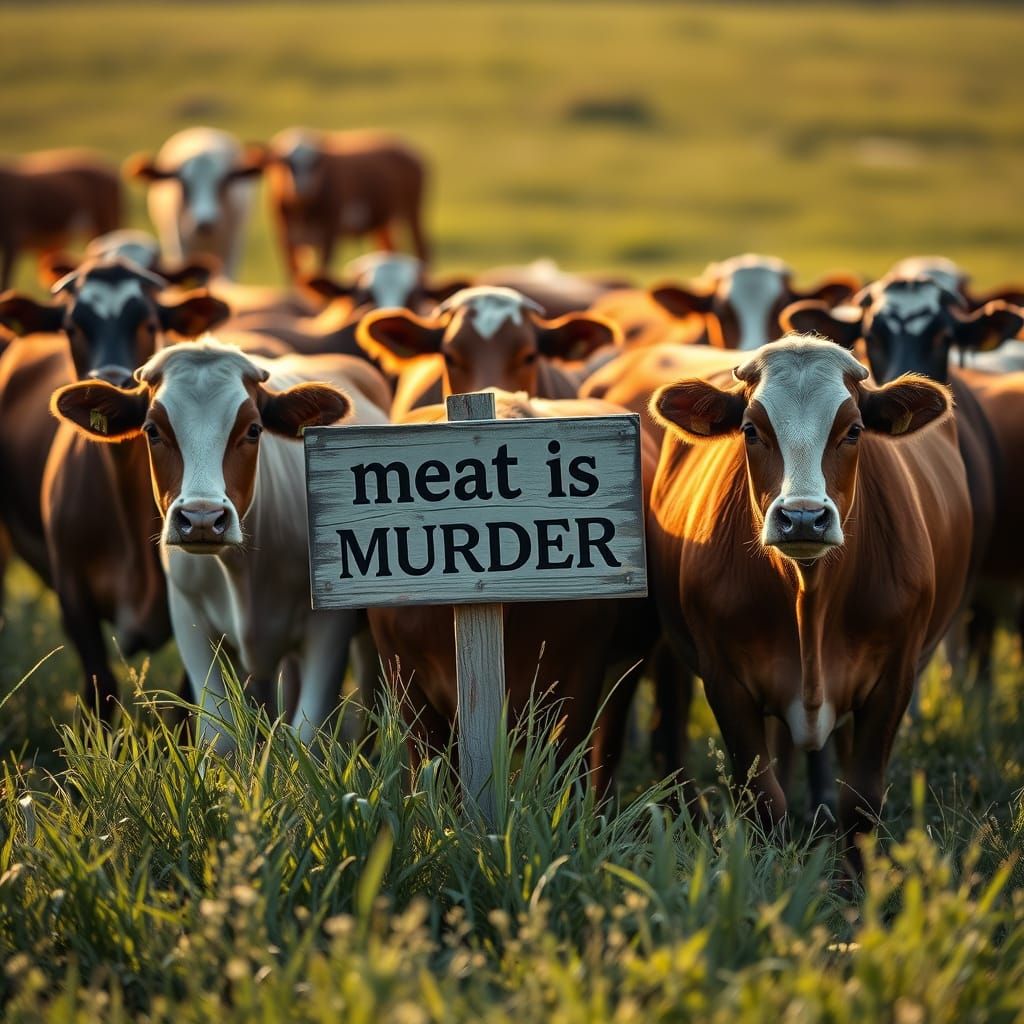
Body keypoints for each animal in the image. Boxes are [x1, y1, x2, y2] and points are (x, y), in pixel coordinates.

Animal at [0, 258, 230, 717]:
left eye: (149, 322)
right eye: (73, 326)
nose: (113, 381)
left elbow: (188, 702)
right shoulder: (74, 596)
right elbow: (100, 688)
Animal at [50, 340, 388, 747]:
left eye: (254, 429)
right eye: (152, 430)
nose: (202, 518)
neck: (243, 574)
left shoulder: (329, 630)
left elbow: (307, 733)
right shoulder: (190, 618)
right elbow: (220, 734)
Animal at [124, 128, 264, 279]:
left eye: (222, 182)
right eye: (184, 184)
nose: (205, 223)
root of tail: (203, 130)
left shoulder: (232, 248)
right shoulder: (180, 245)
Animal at [260, 128, 429, 281]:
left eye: (316, 163)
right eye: (284, 162)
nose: (303, 187)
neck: (303, 209)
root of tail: (406, 147)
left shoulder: (329, 234)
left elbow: (323, 269)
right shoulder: (285, 238)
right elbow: (293, 275)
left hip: (412, 211)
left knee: (422, 249)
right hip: (383, 221)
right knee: (390, 249)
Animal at [648, 337, 971, 866]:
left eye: (854, 430)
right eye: (750, 430)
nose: (802, 517)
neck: (810, 599)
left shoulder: (896, 676)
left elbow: (859, 802)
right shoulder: (724, 680)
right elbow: (765, 798)